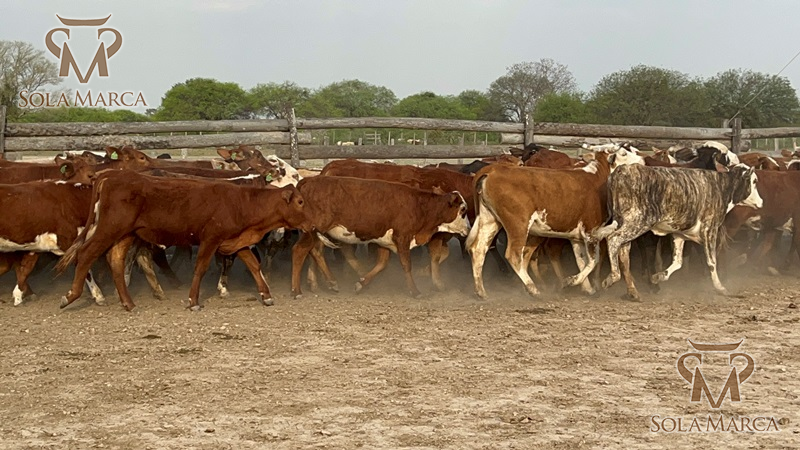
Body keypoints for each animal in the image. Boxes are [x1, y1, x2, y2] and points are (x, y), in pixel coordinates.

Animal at [55, 171, 311, 311]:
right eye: (300, 202)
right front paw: (193, 300)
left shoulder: (233, 241)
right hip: (109, 229)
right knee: (86, 254)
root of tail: (110, 176)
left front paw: (266, 296)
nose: (312, 224)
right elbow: (200, 267)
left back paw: (128, 303)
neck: (241, 202)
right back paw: (70, 296)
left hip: (126, 234)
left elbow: (253, 265)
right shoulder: (210, 239)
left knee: (116, 261)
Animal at [290, 176, 470, 298]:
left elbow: (382, 264)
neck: (419, 206)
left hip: (318, 233)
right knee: (299, 250)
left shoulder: (385, 242)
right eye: (463, 210)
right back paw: (296, 290)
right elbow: (406, 265)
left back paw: (331, 282)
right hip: (313, 231)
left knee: (316, 252)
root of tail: (308, 181)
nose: (468, 228)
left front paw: (361, 283)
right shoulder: (402, 238)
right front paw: (414, 290)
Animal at [595, 164, 762, 300]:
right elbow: (712, 262)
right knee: (613, 239)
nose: (761, 202)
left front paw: (658, 277)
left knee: (623, 253)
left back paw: (633, 292)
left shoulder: (679, 235)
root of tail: (621, 171)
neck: (722, 187)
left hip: (628, 224)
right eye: (754, 181)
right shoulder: (710, 230)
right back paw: (612, 278)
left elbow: (678, 262)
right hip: (638, 222)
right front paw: (720, 288)